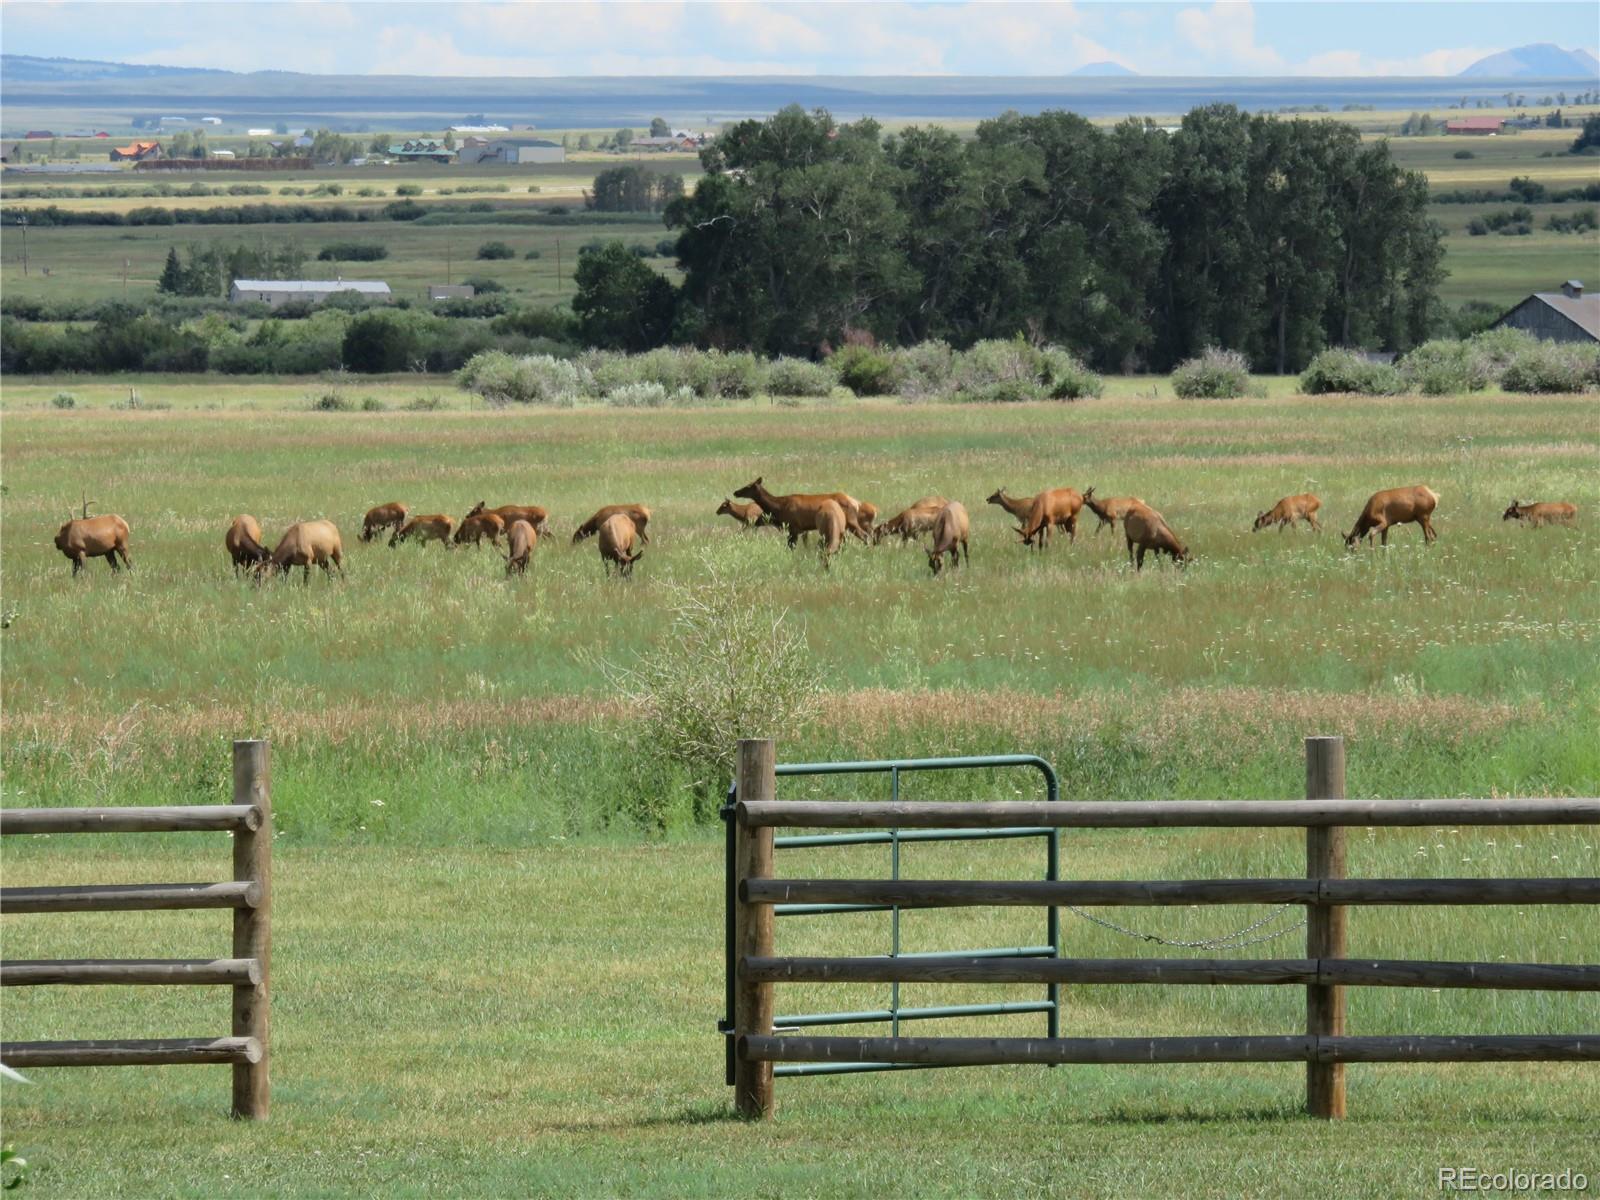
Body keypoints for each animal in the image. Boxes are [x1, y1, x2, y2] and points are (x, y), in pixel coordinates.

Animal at [732, 483, 870, 550]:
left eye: (748, 486)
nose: (735, 492)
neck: (779, 507)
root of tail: (855, 502)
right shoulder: (799, 529)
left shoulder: (794, 527)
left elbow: (791, 547)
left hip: (851, 521)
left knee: (865, 535)